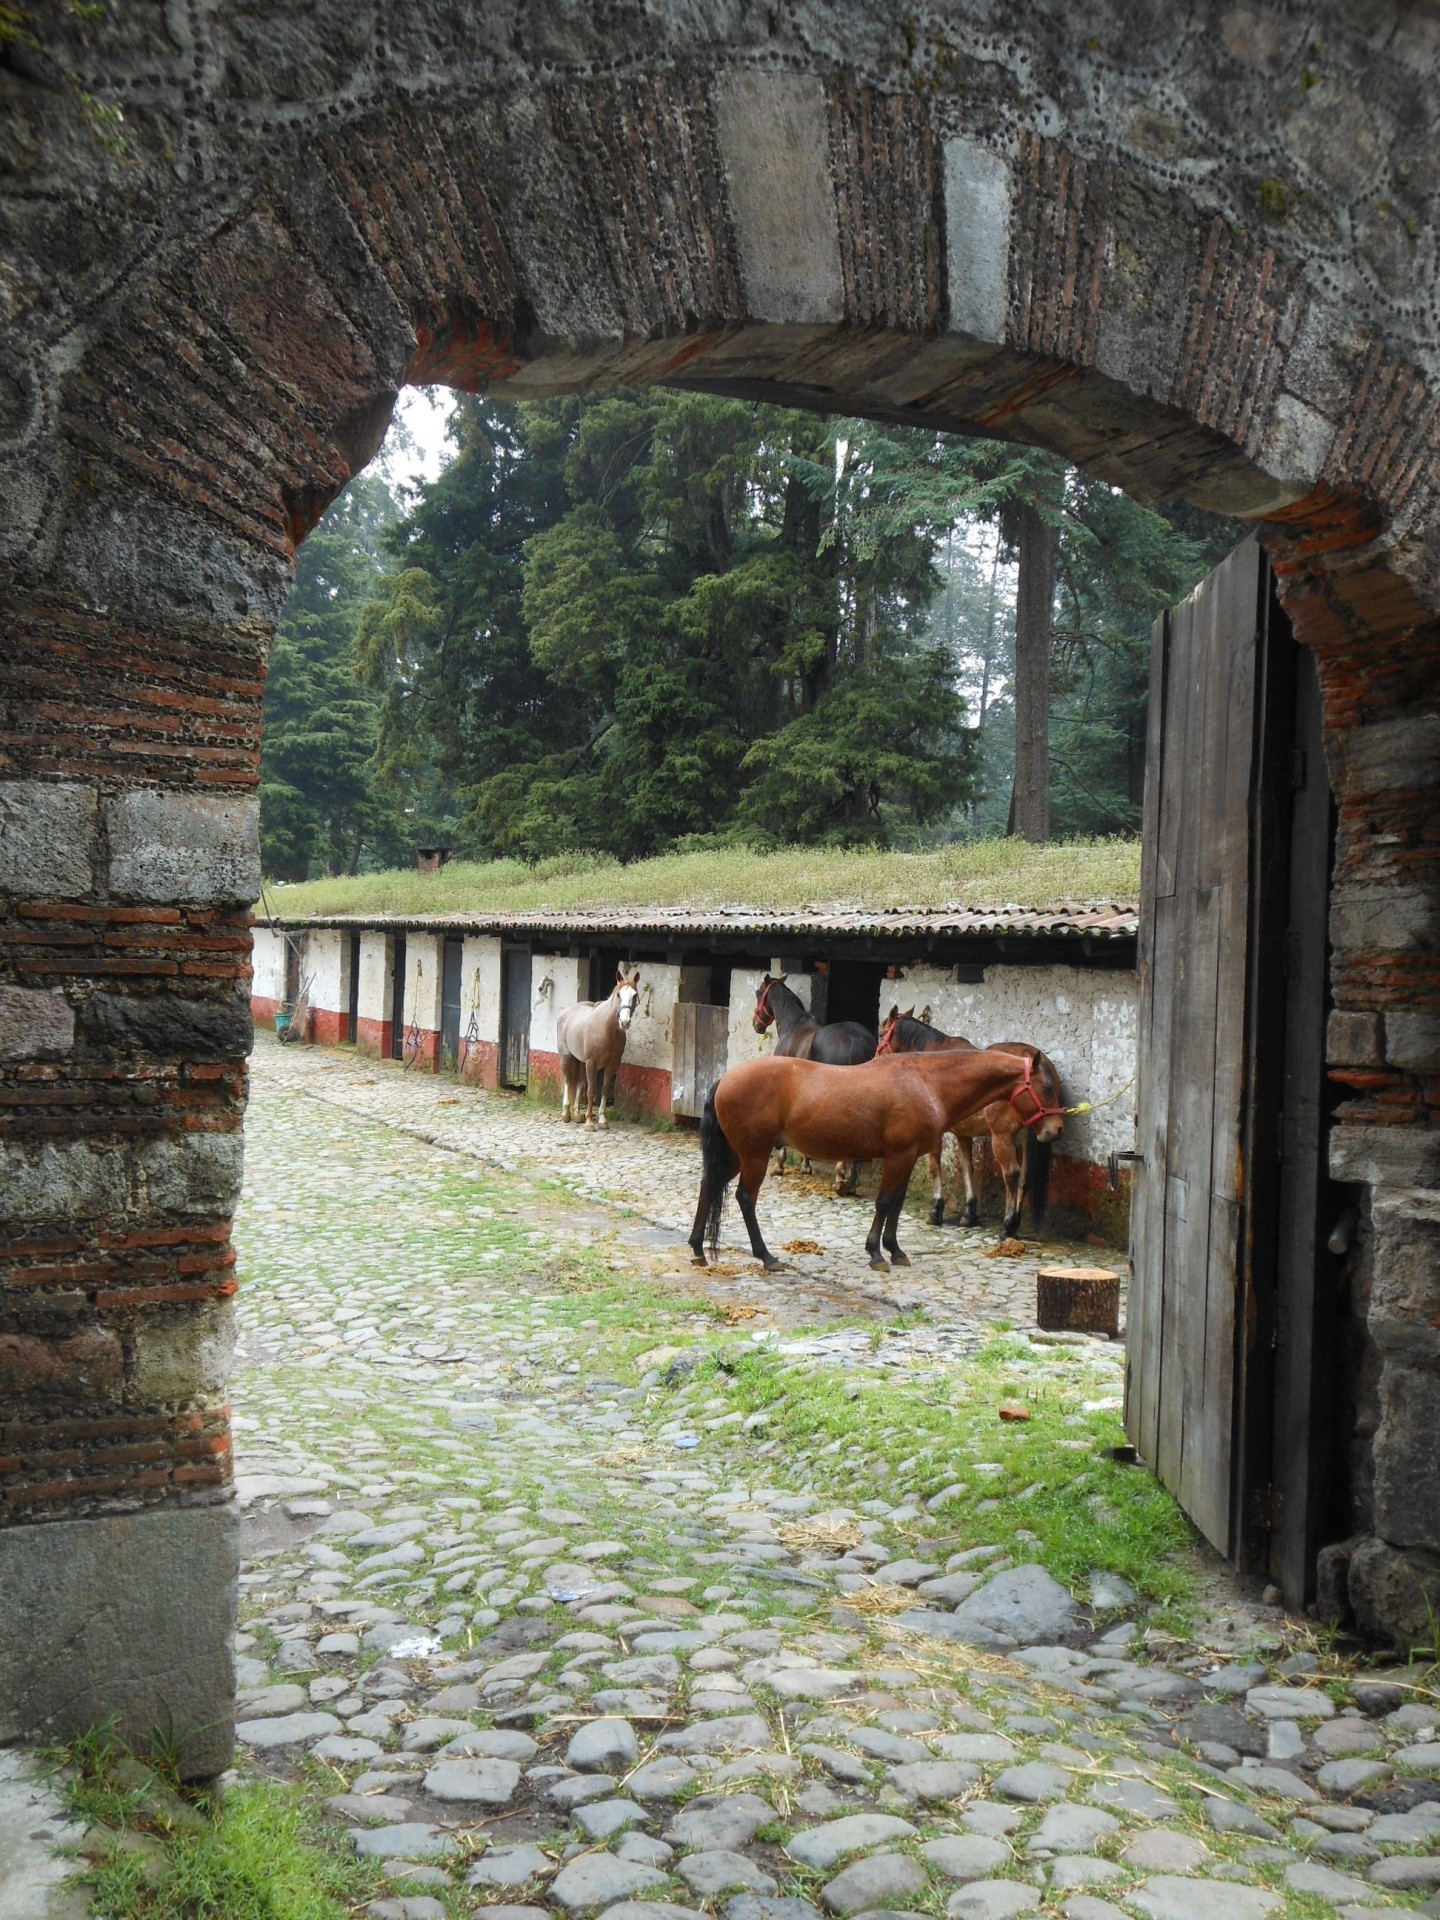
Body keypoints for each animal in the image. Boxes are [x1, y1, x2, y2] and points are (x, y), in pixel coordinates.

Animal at [556, 975, 641, 1121]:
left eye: (634, 995)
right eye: (618, 994)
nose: (624, 1022)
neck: (606, 1030)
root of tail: (567, 1012)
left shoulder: (613, 1064)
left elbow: (605, 1090)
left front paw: (602, 1119)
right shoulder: (592, 1063)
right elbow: (591, 1090)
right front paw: (589, 1121)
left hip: (581, 1060)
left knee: (579, 1082)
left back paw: (577, 1113)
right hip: (566, 1056)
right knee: (567, 1079)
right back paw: (566, 1113)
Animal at [691, 1044, 1052, 1267]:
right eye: (1047, 1088)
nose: (1051, 1131)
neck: (925, 1082)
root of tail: (725, 1078)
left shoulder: (908, 1157)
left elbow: (897, 1203)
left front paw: (895, 1250)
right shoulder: (899, 1156)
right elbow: (884, 1202)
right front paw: (876, 1252)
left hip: (737, 1155)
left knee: (709, 1186)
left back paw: (698, 1249)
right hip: (755, 1155)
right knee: (745, 1198)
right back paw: (765, 1256)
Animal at [756, 983, 879, 1190]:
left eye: (758, 993)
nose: (756, 1025)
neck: (793, 1026)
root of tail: (857, 1040)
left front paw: (780, 1165)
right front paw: (806, 1165)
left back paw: (841, 1176)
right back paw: (852, 1181)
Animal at [875, 1006, 1067, 1228]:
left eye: (881, 1034)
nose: (875, 1057)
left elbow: (934, 1167)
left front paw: (936, 1210)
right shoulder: (963, 1133)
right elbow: (967, 1169)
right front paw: (969, 1212)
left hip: (1002, 1136)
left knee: (1011, 1174)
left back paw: (1009, 1224)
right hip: (1032, 1132)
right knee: (1024, 1177)